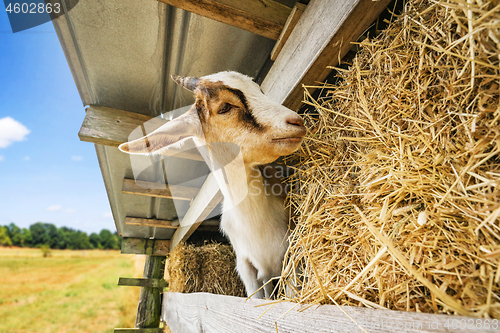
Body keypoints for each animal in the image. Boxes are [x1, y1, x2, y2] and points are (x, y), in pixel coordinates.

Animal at [118, 70, 304, 298]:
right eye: (224, 107)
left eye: (259, 90)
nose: (296, 121)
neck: (257, 225)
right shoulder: (250, 271)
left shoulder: (290, 258)